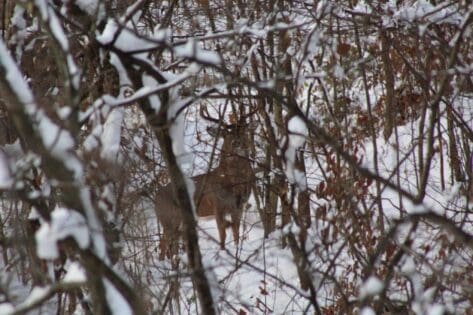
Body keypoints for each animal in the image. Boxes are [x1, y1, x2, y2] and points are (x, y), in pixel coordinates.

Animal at [155, 107, 254, 260]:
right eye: (225, 134)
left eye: (243, 131)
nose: (236, 142)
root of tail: (155, 196)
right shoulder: (217, 205)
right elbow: (222, 234)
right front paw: (223, 252)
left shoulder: (239, 207)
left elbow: (236, 233)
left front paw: (237, 252)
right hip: (168, 217)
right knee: (163, 244)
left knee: (169, 244)